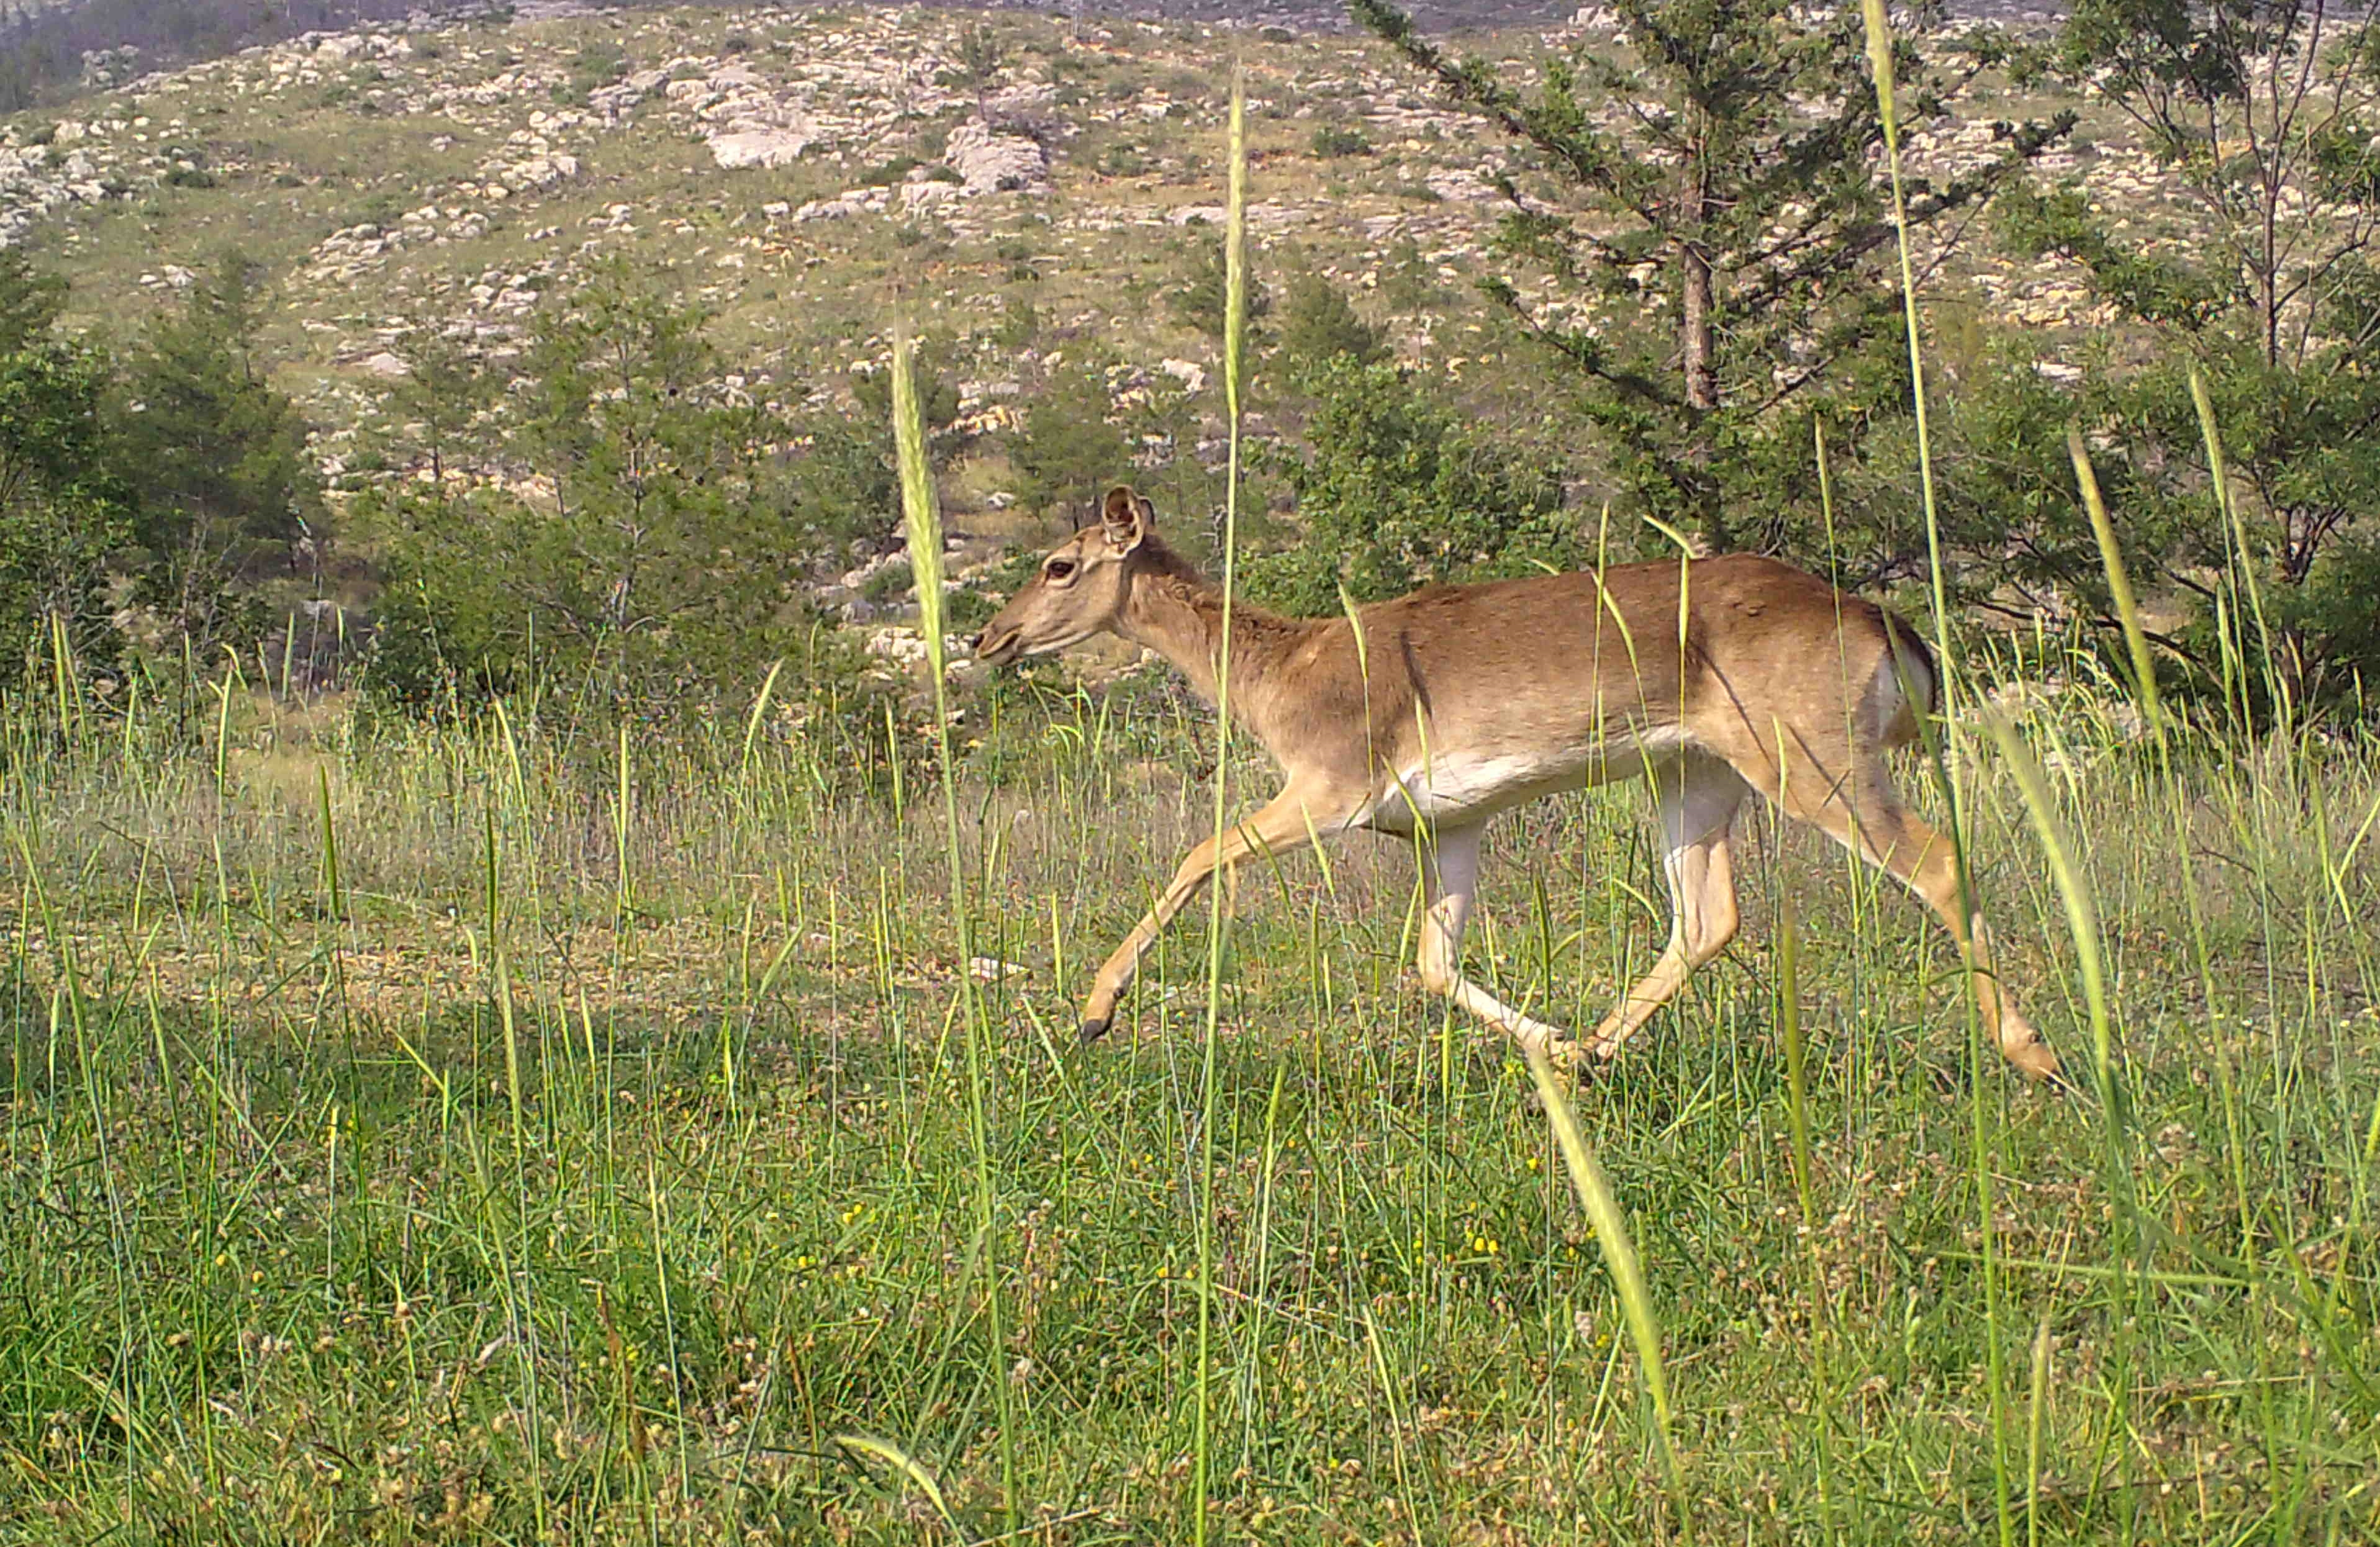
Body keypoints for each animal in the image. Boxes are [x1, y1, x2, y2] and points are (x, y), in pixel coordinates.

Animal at [966, 487, 2066, 1080]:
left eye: (1061, 564)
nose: (988, 637)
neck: (1279, 678)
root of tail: (1895, 635)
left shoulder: (1332, 782)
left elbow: (1200, 850)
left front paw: (1093, 1011)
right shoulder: (1449, 824)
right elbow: (1431, 964)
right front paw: (1548, 1040)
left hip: (1815, 752)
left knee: (1935, 860)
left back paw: (2036, 1055)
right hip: (1698, 773)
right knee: (1709, 915)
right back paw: (1594, 1050)